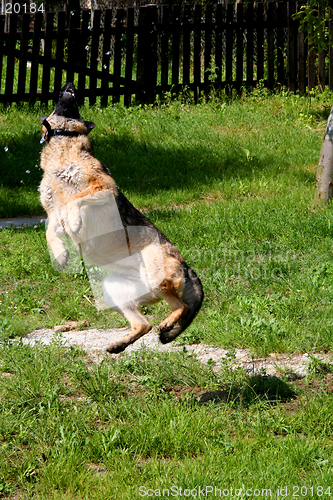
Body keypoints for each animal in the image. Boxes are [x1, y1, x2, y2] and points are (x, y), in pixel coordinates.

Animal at [37, 82, 201, 354]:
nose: (70, 84)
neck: (64, 145)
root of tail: (187, 267)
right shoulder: (52, 214)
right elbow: (51, 229)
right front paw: (60, 254)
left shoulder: (105, 188)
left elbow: (75, 200)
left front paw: (74, 221)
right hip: (112, 289)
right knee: (144, 324)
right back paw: (118, 345)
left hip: (155, 277)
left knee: (181, 307)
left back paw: (167, 322)